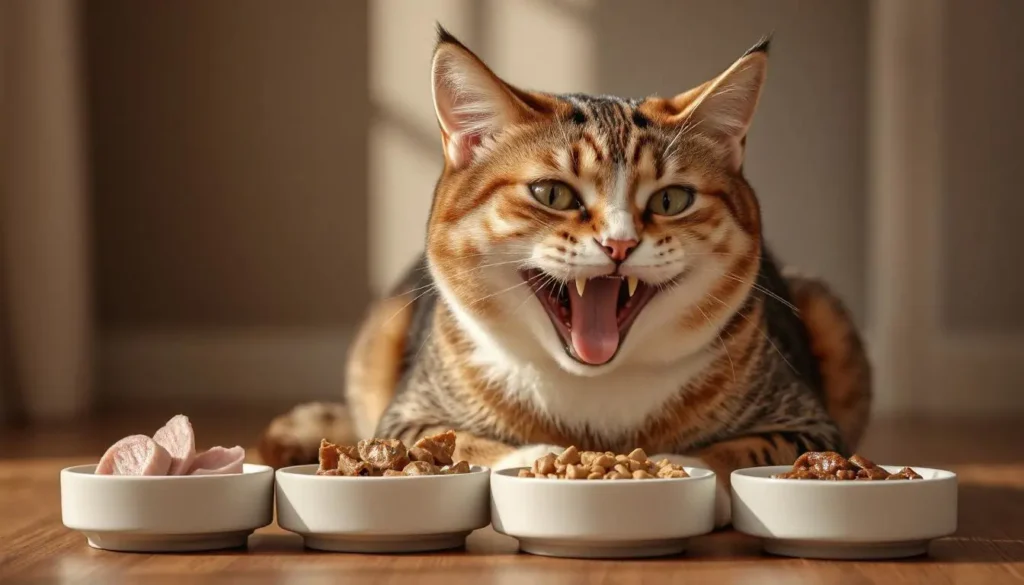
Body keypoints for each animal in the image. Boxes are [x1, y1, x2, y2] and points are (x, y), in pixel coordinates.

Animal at [258, 26, 872, 524]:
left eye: (671, 199)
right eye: (552, 193)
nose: (620, 243)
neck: (592, 390)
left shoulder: (808, 420)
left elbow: (749, 450)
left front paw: (677, 467)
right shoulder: (408, 414)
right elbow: (454, 443)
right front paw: (537, 458)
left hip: (826, 311)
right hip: (382, 329)